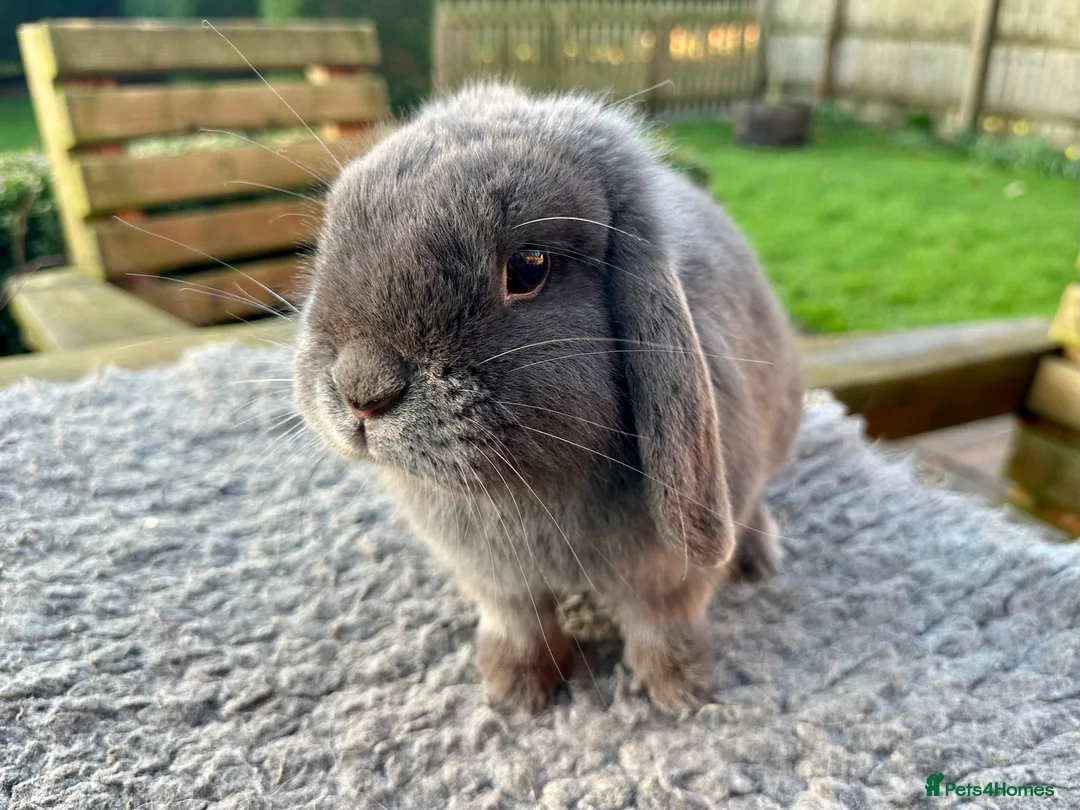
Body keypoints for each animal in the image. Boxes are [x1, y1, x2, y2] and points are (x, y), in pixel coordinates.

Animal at [291, 82, 804, 715]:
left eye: (529, 267)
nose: (361, 391)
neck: (527, 491)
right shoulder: (495, 581)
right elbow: (520, 624)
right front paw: (515, 690)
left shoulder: (668, 576)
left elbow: (662, 625)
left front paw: (679, 691)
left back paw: (758, 562)